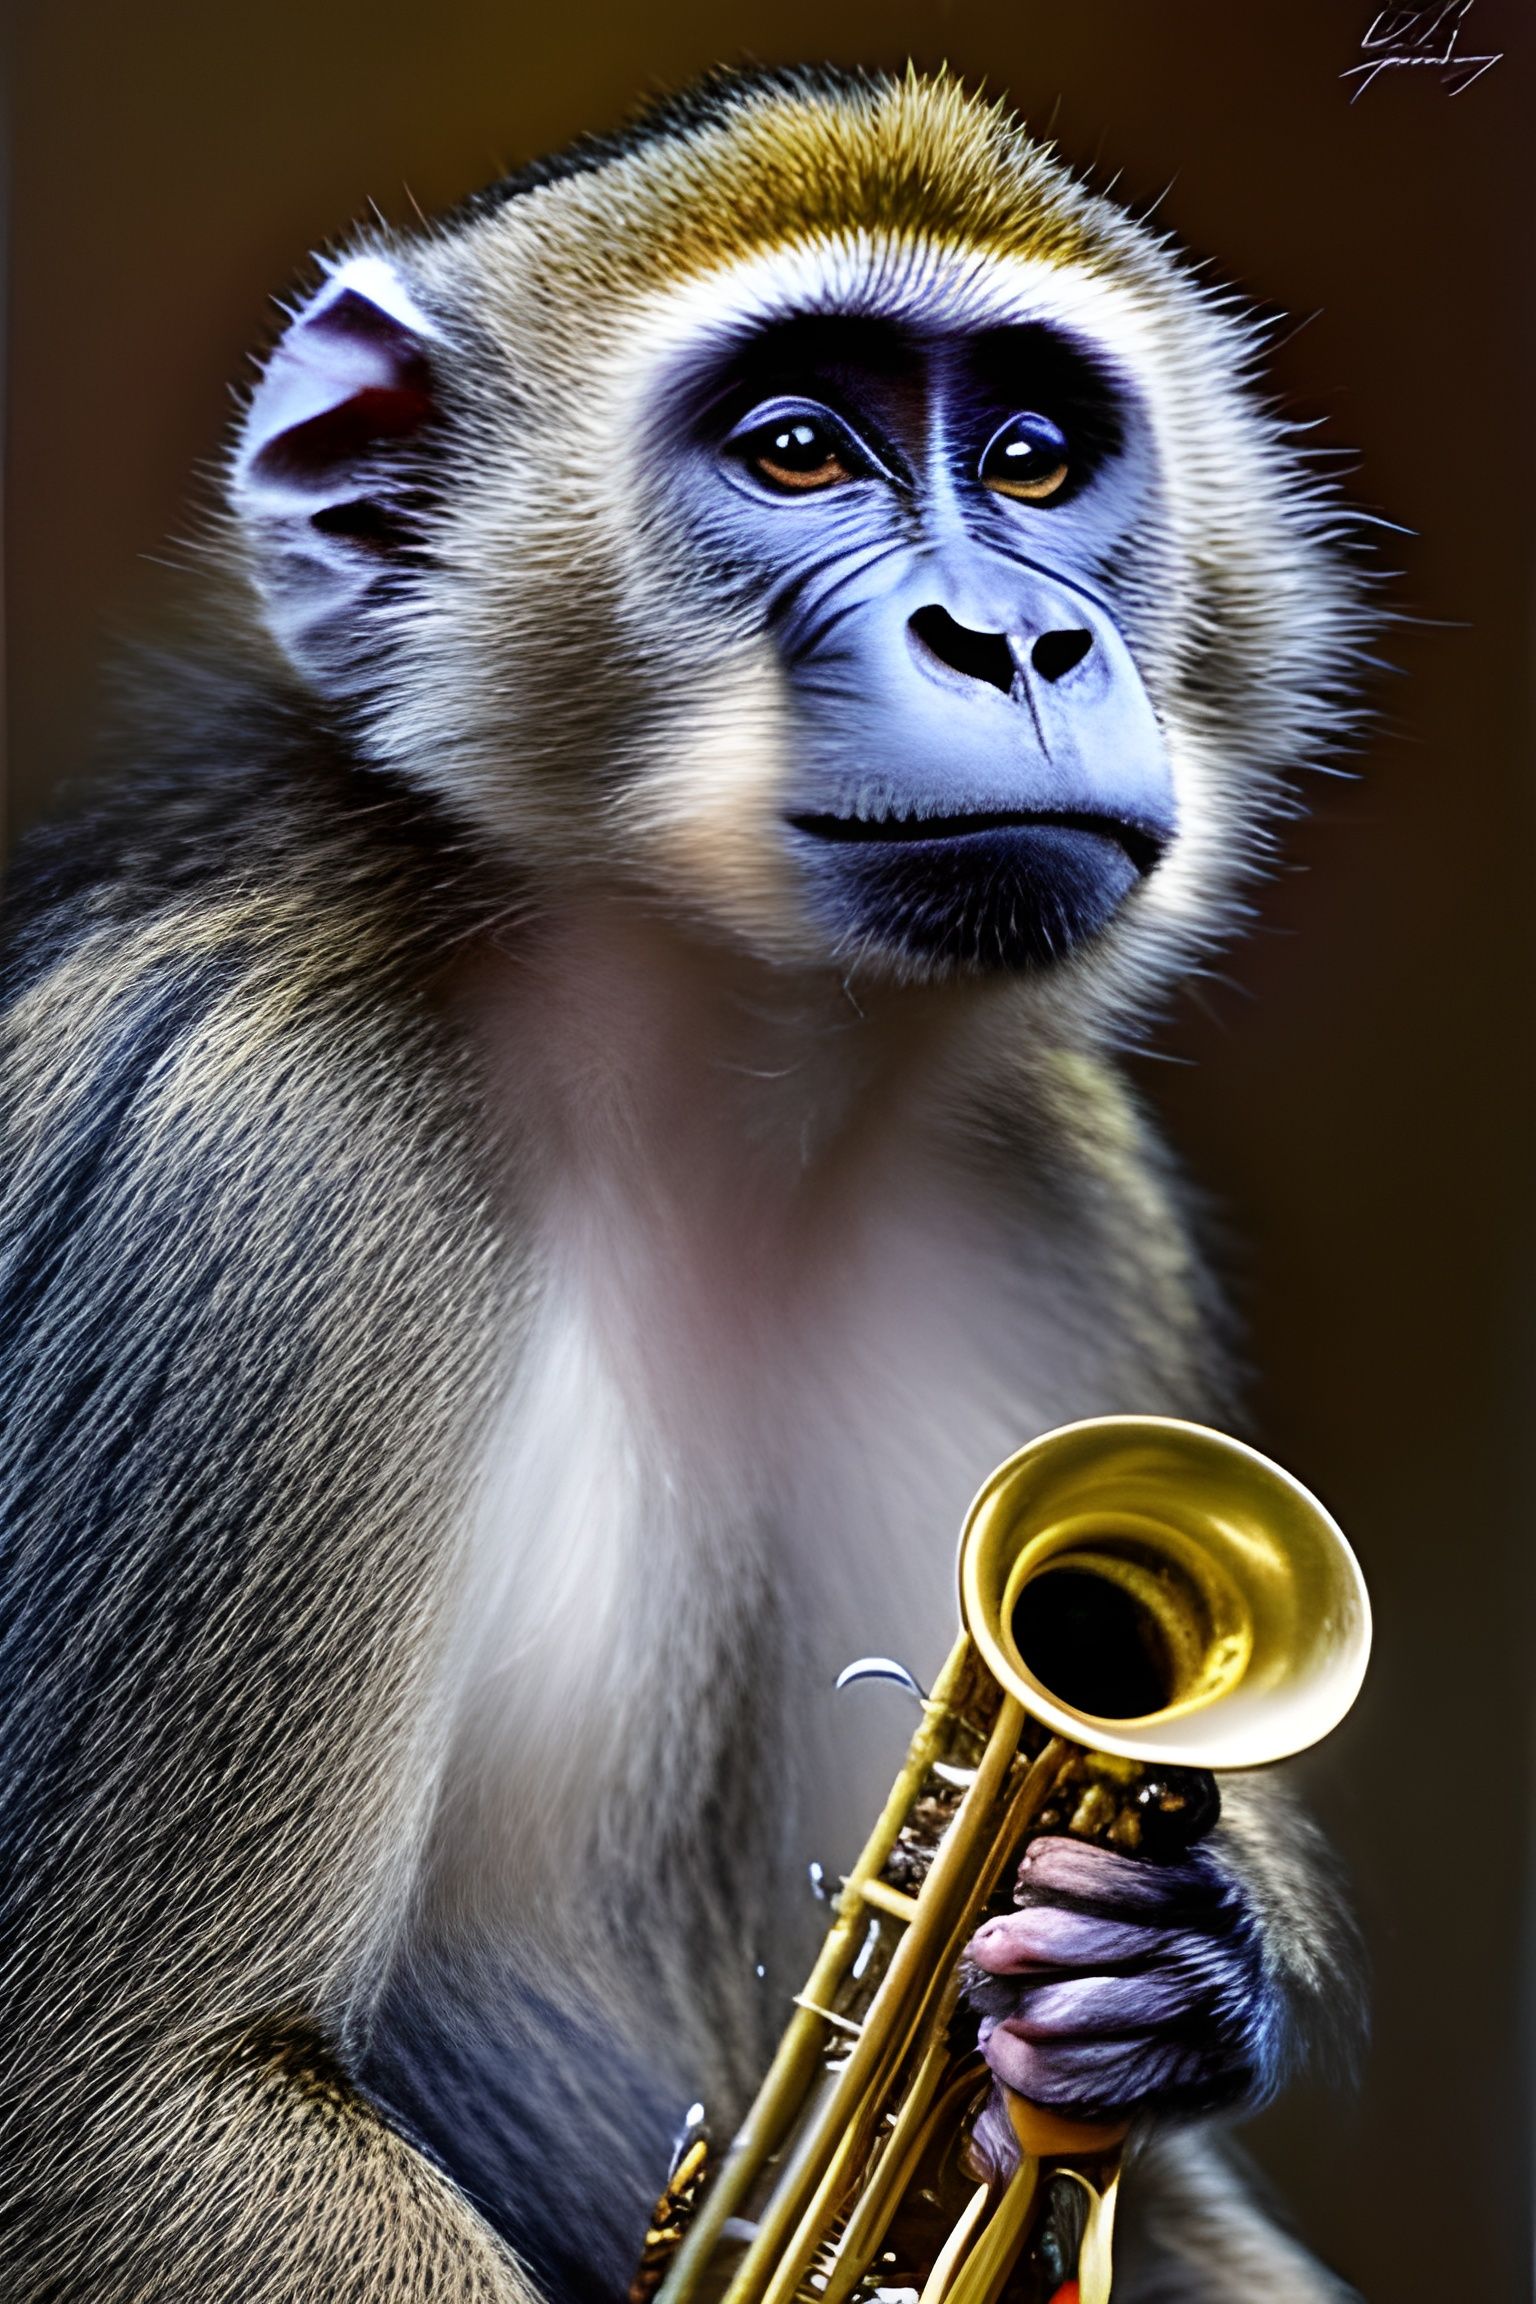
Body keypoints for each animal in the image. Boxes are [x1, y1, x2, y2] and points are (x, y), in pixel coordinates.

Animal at [0, 62, 1369, 2304]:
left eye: (1032, 456)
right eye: (797, 448)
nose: (1013, 637)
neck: (706, 1097)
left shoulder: (1044, 1197)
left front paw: (1156, 1976)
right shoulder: (254, 1183)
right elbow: (133, 2103)